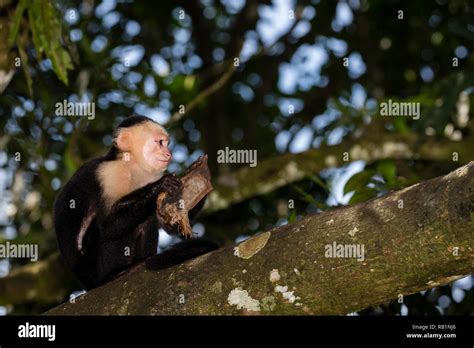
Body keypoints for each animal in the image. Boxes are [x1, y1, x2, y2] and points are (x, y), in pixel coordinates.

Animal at [54, 115, 218, 290]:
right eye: (160, 142)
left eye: (166, 144)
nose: (168, 153)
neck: (132, 166)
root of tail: (87, 283)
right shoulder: (110, 174)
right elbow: (108, 225)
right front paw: (158, 188)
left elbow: (169, 224)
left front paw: (199, 173)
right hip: (93, 267)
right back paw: (114, 274)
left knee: (146, 219)